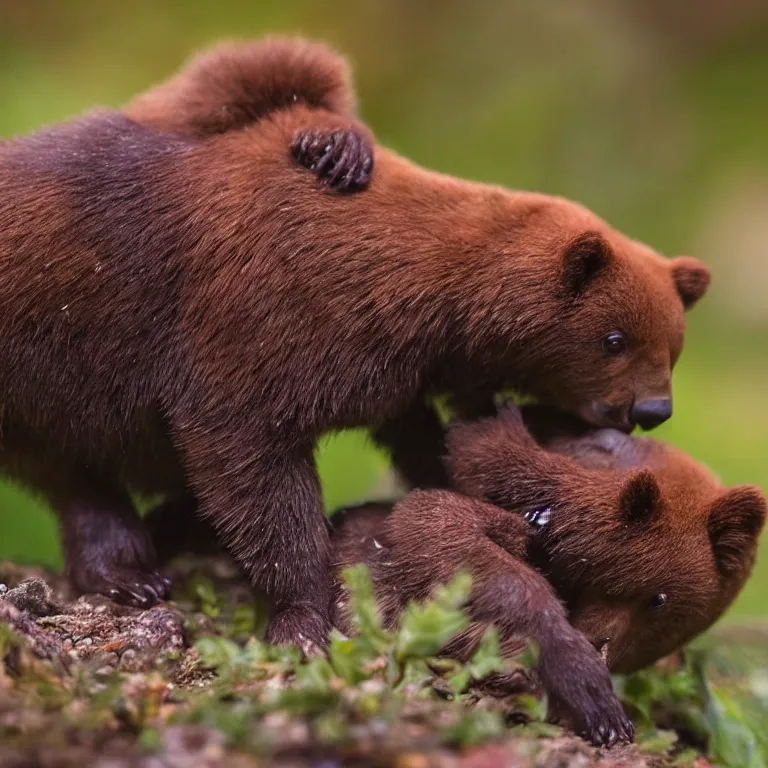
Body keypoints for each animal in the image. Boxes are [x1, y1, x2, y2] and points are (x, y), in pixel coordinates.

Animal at [0, 36, 708, 648]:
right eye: (613, 338)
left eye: (673, 348)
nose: (652, 410)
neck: (427, 301)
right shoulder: (266, 323)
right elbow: (251, 462)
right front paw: (302, 614)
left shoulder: (394, 376)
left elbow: (425, 438)